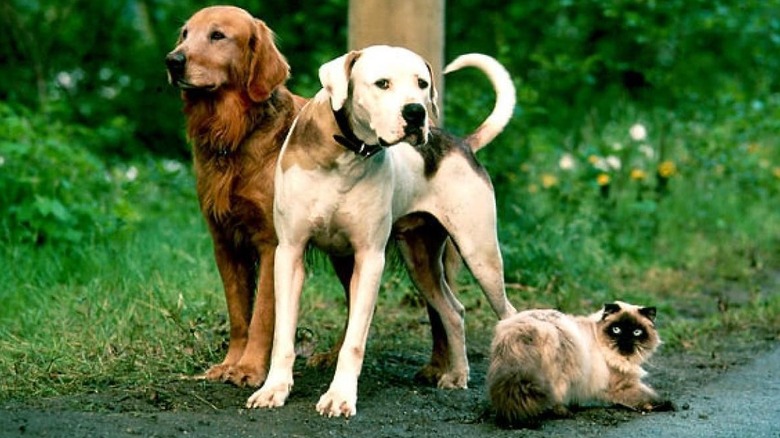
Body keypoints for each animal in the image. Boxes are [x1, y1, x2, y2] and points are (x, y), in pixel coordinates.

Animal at [247, 45, 516, 418]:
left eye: (422, 83)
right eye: (382, 83)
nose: (416, 112)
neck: (346, 154)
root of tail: (462, 143)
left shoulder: (369, 259)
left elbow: (354, 341)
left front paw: (339, 396)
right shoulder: (289, 253)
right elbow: (283, 336)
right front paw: (274, 389)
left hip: (481, 255)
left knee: (509, 315)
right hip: (421, 263)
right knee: (454, 311)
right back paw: (458, 374)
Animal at [488, 302, 672, 428]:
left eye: (636, 332)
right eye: (617, 330)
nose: (625, 342)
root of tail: (522, 331)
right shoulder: (622, 385)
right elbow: (649, 396)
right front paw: (665, 405)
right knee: (556, 395)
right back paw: (564, 413)